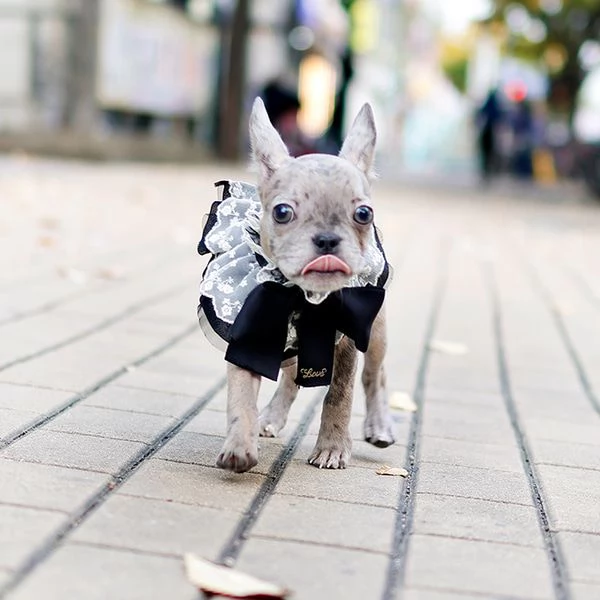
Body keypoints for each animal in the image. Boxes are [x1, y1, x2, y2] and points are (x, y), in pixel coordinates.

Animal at [216, 99, 394, 474]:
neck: (303, 297)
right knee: (289, 380)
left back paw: (379, 426)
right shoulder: (249, 332)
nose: (326, 239)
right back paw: (271, 417)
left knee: (374, 376)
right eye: (282, 212)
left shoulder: (348, 341)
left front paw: (332, 448)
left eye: (364, 214)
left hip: (377, 333)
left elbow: (339, 394)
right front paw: (239, 444)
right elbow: (240, 392)